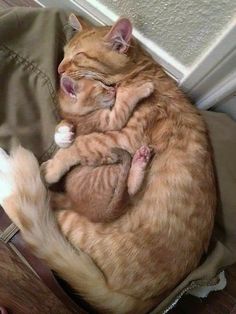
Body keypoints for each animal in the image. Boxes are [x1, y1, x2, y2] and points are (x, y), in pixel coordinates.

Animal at [0, 13, 218, 312]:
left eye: (79, 56)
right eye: (64, 52)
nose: (59, 68)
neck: (140, 73)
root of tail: (137, 302)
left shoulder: (125, 134)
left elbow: (83, 143)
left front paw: (54, 165)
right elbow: (72, 125)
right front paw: (63, 133)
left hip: (66, 219)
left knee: (40, 207)